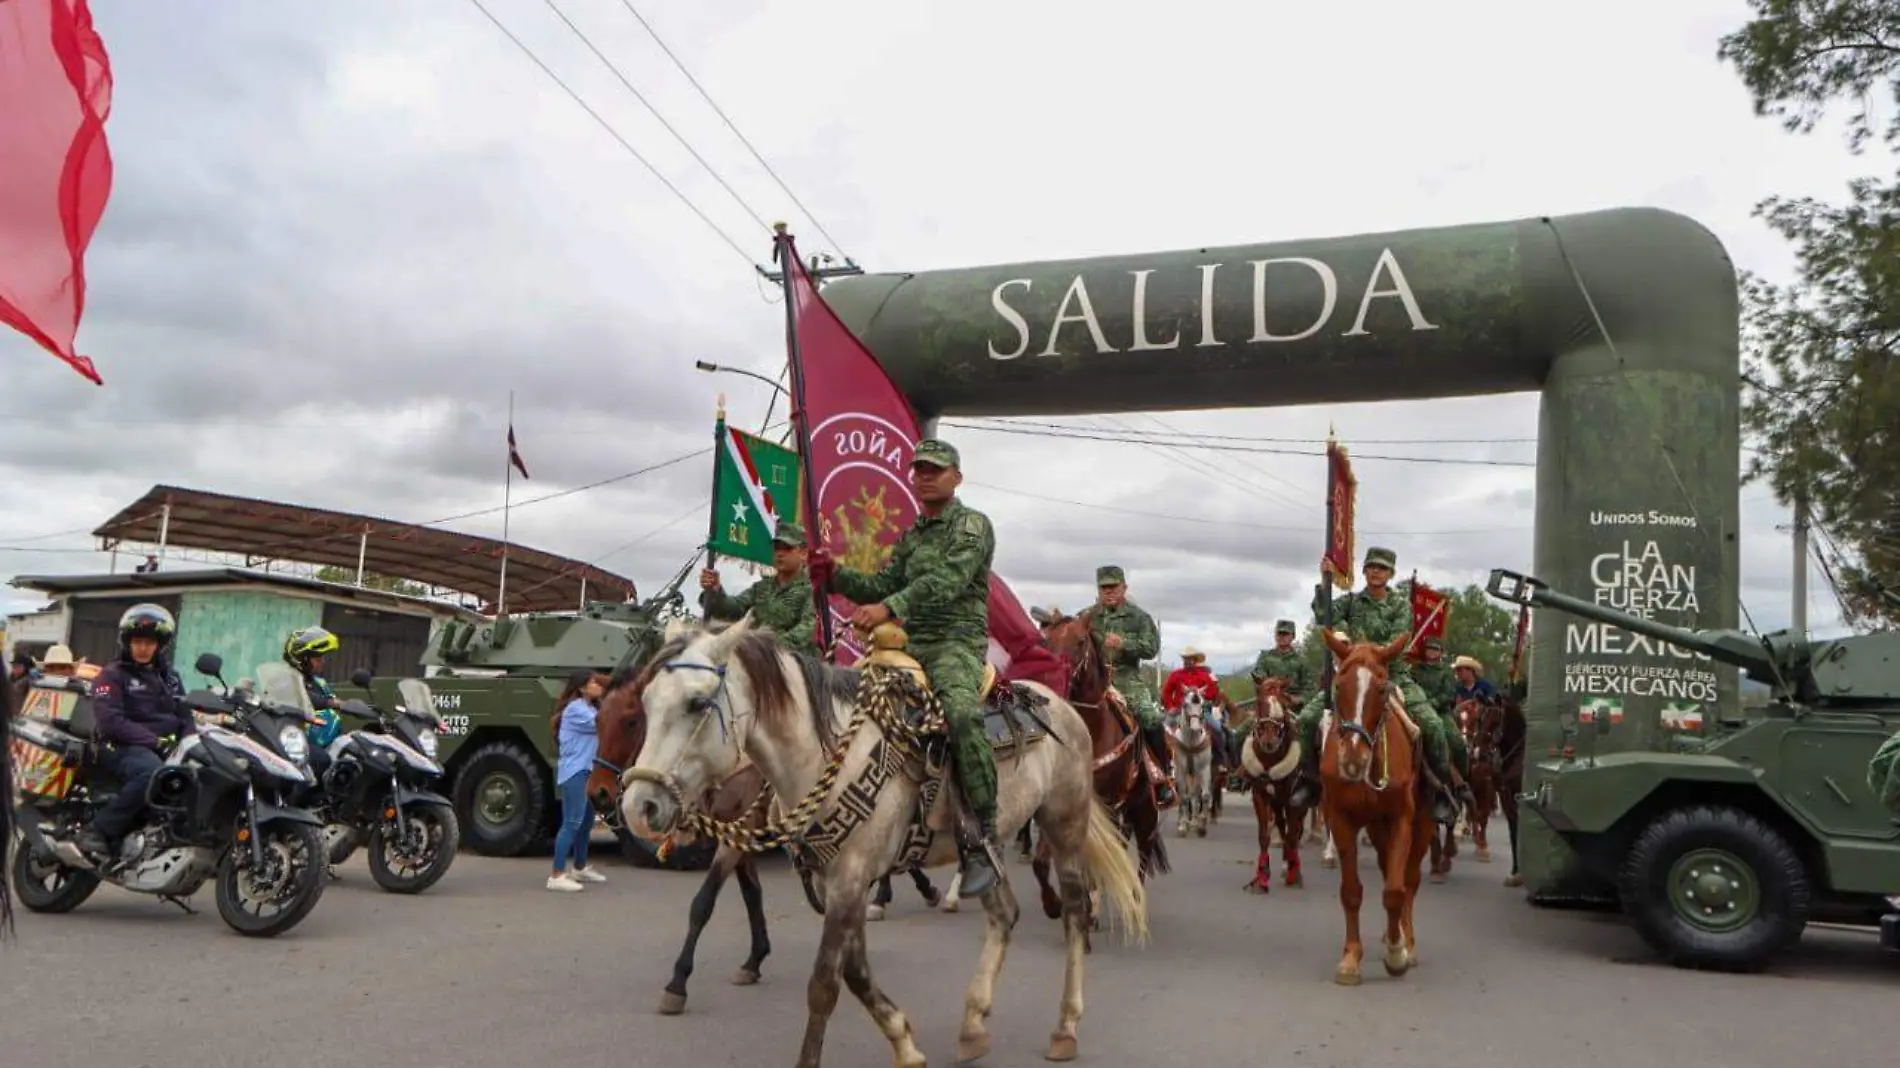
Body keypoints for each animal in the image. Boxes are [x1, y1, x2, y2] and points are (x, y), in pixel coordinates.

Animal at [1231, 676, 1307, 893]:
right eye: (1260, 703)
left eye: (1283, 704)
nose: (1269, 742)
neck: (1270, 759)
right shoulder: (1260, 795)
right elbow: (1264, 835)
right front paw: (1261, 877)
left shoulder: (1291, 797)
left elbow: (1292, 834)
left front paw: (1294, 874)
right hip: (1275, 801)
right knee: (1282, 826)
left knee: (1294, 831)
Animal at [1314, 627, 1428, 988]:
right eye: (1339, 686)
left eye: (1381, 688)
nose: (1352, 760)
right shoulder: (1340, 818)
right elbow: (1351, 891)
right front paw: (1351, 958)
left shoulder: (1402, 818)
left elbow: (1395, 889)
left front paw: (1396, 955)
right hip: (1377, 830)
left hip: (1422, 826)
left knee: (1409, 880)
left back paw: (1407, 943)